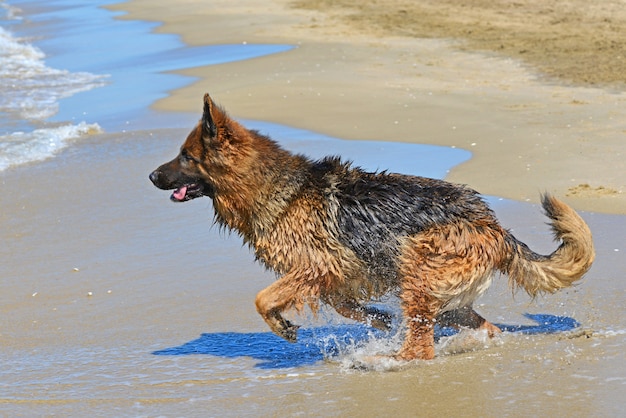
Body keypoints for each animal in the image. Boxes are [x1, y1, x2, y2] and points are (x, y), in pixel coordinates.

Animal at [149, 94, 592, 360]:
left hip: (417, 270)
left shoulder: (317, 266)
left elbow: (262, 298)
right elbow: (343, 305)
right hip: (445, 298)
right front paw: (377, 319)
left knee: (420, 348)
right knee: (479, 326)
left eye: (186, 157)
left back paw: (388, 361)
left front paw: (281, 326)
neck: (275, 189)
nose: (152, 176)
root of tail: (492, 224)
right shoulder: (335, 274)